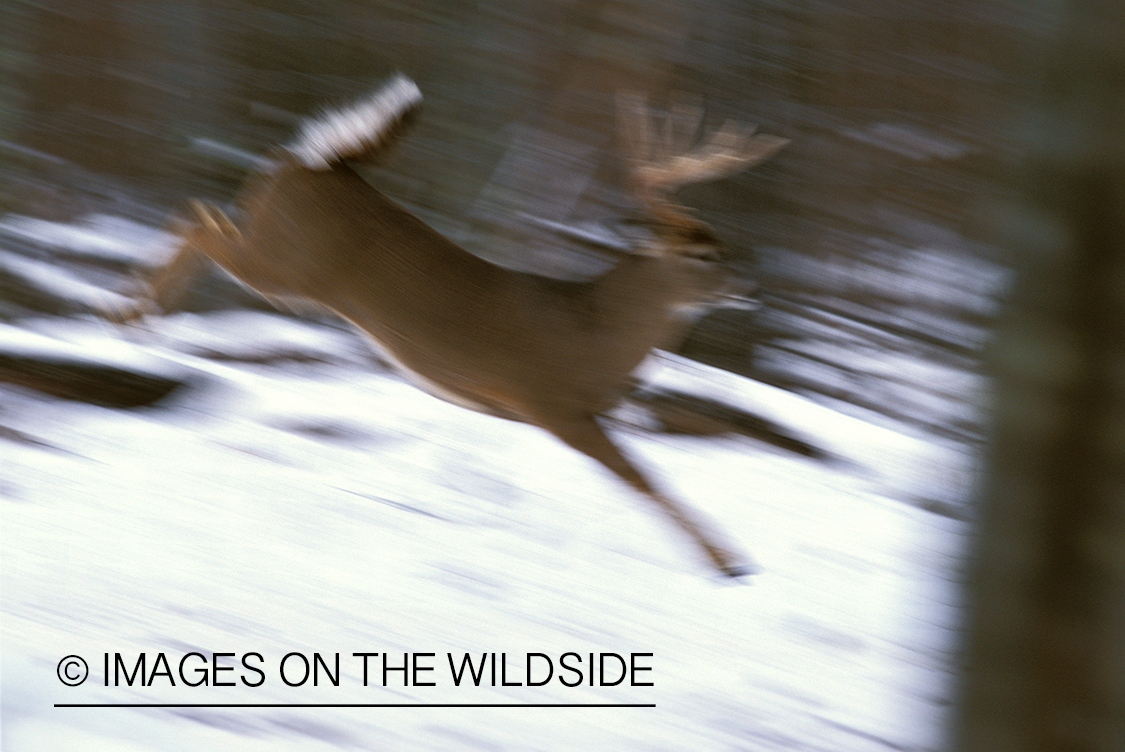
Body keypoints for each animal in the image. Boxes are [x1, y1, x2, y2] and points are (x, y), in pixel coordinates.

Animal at [115, 74, 787, 578]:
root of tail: (320, 162)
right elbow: (647, 482)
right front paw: (728, 563)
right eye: (703, 255)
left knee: (200, 214)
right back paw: (131, 312)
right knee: (197, 216)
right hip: (285, 264)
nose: (750, 288)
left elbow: (646, 478)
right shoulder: (555, 404)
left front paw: (730, 560)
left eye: (722, 246)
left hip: (274, 247)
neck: (597, 335)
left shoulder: (588, 410)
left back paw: (136, 309)